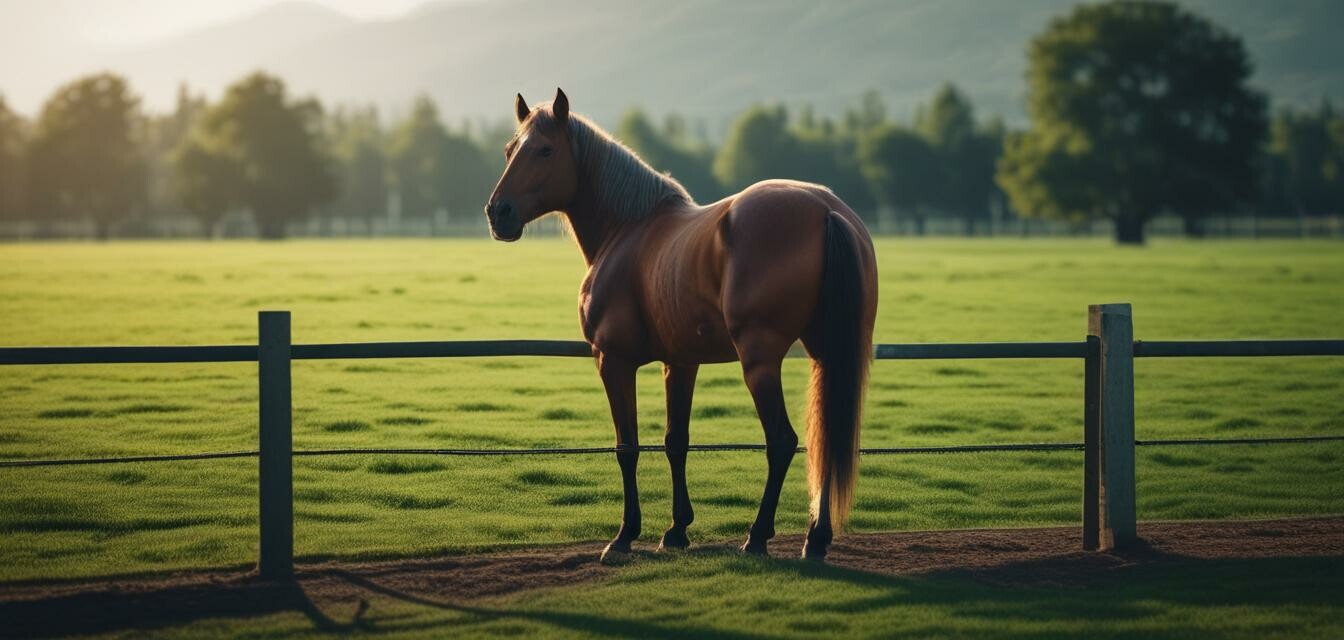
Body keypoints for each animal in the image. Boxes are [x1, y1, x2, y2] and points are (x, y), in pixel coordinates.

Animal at [489, 88, 876, 559]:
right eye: (510, 150)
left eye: (545, 150)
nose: (498, 212)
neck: (627, 228)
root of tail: (826, 211)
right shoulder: (681, 363)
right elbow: (677, 442)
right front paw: (676, 530)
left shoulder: (612, 361)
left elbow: (628, 447)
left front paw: (624, 535)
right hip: (828, 356)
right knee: (827, 436)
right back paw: (815, 539)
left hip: (760, 362)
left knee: (782, 441)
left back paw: (757, 537)